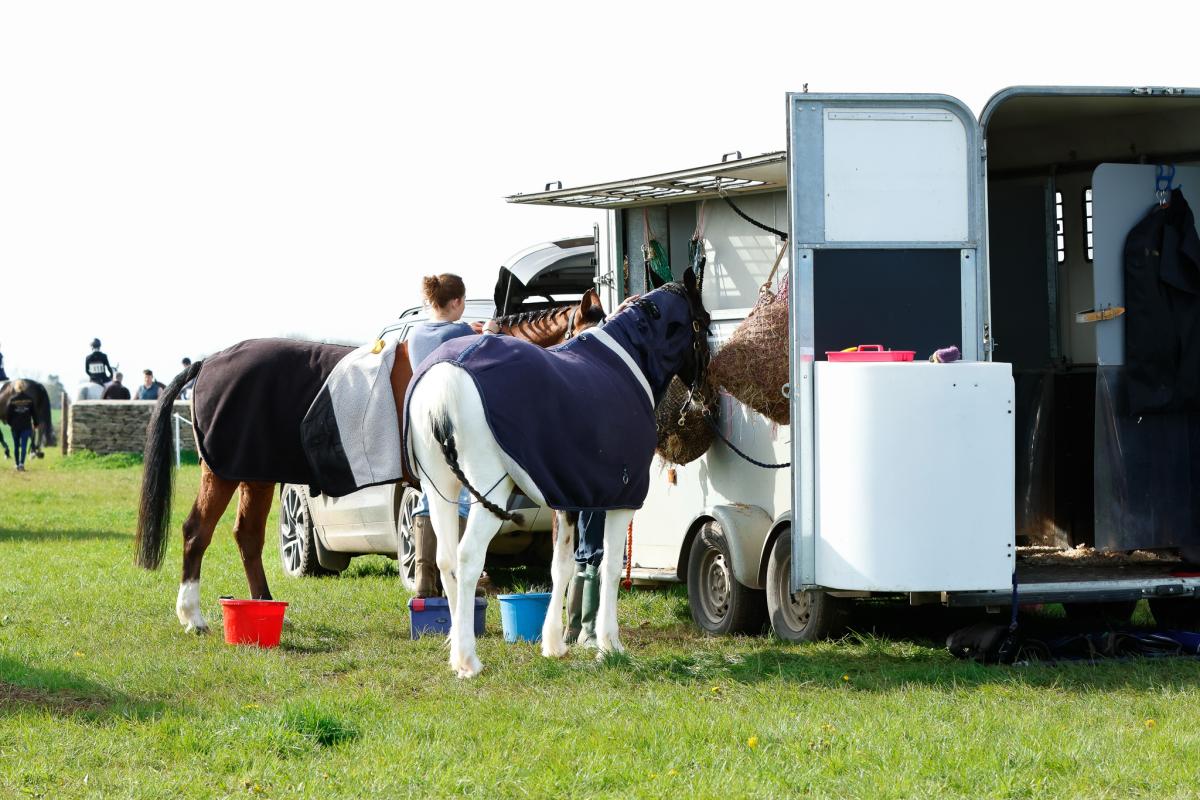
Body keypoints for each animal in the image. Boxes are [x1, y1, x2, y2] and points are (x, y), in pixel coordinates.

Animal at [134, 289, 605, 634]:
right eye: (588, 339)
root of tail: (210, 362)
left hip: (255, 475)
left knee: (246, 535)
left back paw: (263, 606)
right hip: (224, 471)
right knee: (197, 532)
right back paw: (193, 616)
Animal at [406, 272, 710, 677]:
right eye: (704, 321)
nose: (707, 392)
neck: (628, 361)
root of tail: (446, 378)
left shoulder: (566, 498)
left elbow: (561, 567)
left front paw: (553, 644)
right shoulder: (622, 500)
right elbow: (610, 567)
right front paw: (610, 645)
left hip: (441, 489)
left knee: (446, 561)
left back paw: (457, 648)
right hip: (488, 494)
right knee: (468, 558)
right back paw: (469, 660)